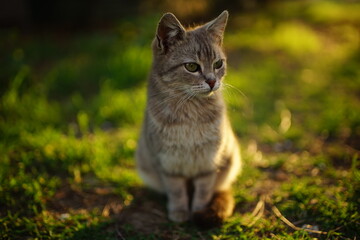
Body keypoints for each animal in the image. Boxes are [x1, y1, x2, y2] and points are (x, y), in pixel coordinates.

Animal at [136, 10, 242, 229]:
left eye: (218, 64)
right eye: (192, 66)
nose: (212, 81)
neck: (190, 113)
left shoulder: (209, 163)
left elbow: (203, 192)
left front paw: (198, 211)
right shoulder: (168, 164)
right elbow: (176, 191)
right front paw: (179, 211)